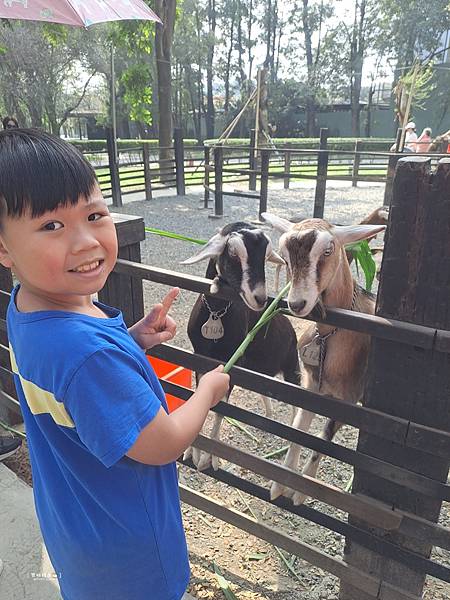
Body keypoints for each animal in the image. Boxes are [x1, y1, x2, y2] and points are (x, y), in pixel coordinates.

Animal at [181, 223, 300, 472]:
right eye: (234, 254)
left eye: (265, 255)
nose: (260, 298)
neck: (216, 313)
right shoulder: (200, 357)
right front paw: (192, 451)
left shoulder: (232, 364)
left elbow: (220, 409)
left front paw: (211, 459)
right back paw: (269, 413)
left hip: (291, 366)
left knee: (296, 406)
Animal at [262, 213, 384, 504]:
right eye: (284, 254)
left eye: (328, 250)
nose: (297, 304)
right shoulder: (311, 387)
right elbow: (298, 430)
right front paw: (280, 484)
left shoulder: (349, 400)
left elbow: (323, 437)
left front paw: (300, 492)